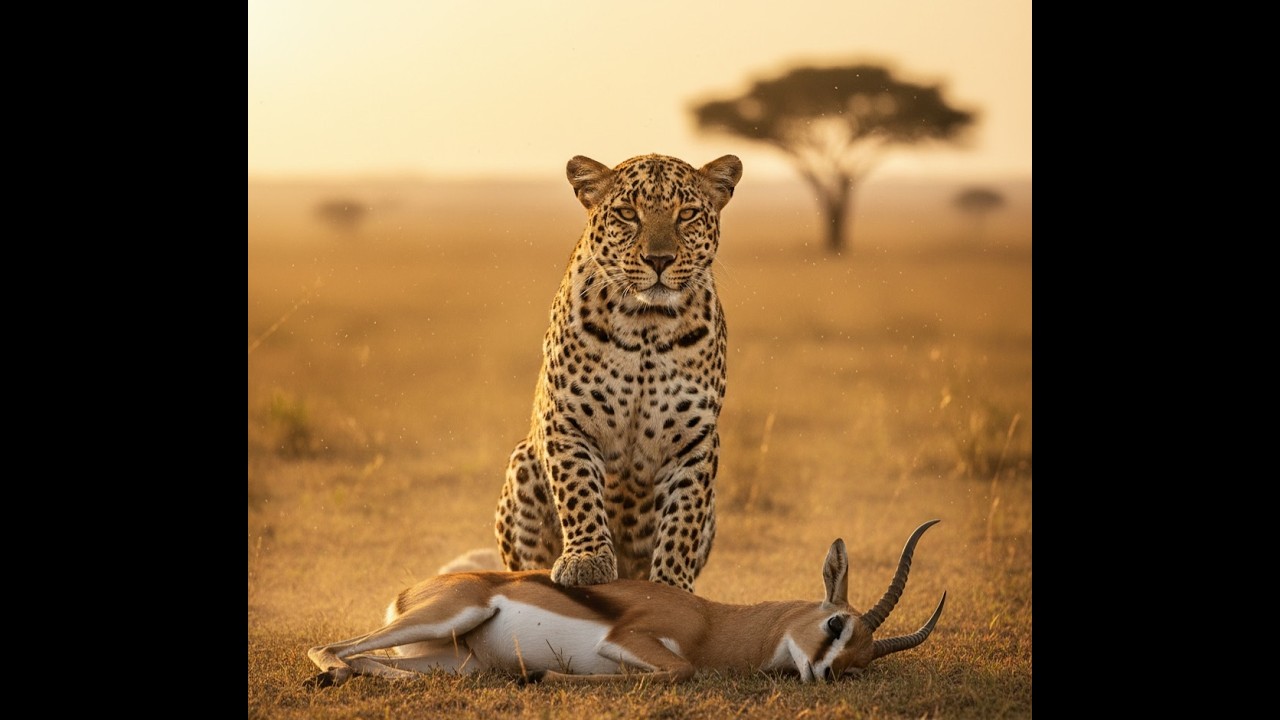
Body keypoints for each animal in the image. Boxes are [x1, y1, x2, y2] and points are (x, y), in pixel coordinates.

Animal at [494, 153, 743, 593]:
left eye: (687, 214)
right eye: (628, 214)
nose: (659, 260)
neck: (647, 324)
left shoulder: (694, 439)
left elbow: (683, 517)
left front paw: (672, 583)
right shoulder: (567, 419)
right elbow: (578, 490)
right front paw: (586, 559)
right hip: (522, 464)